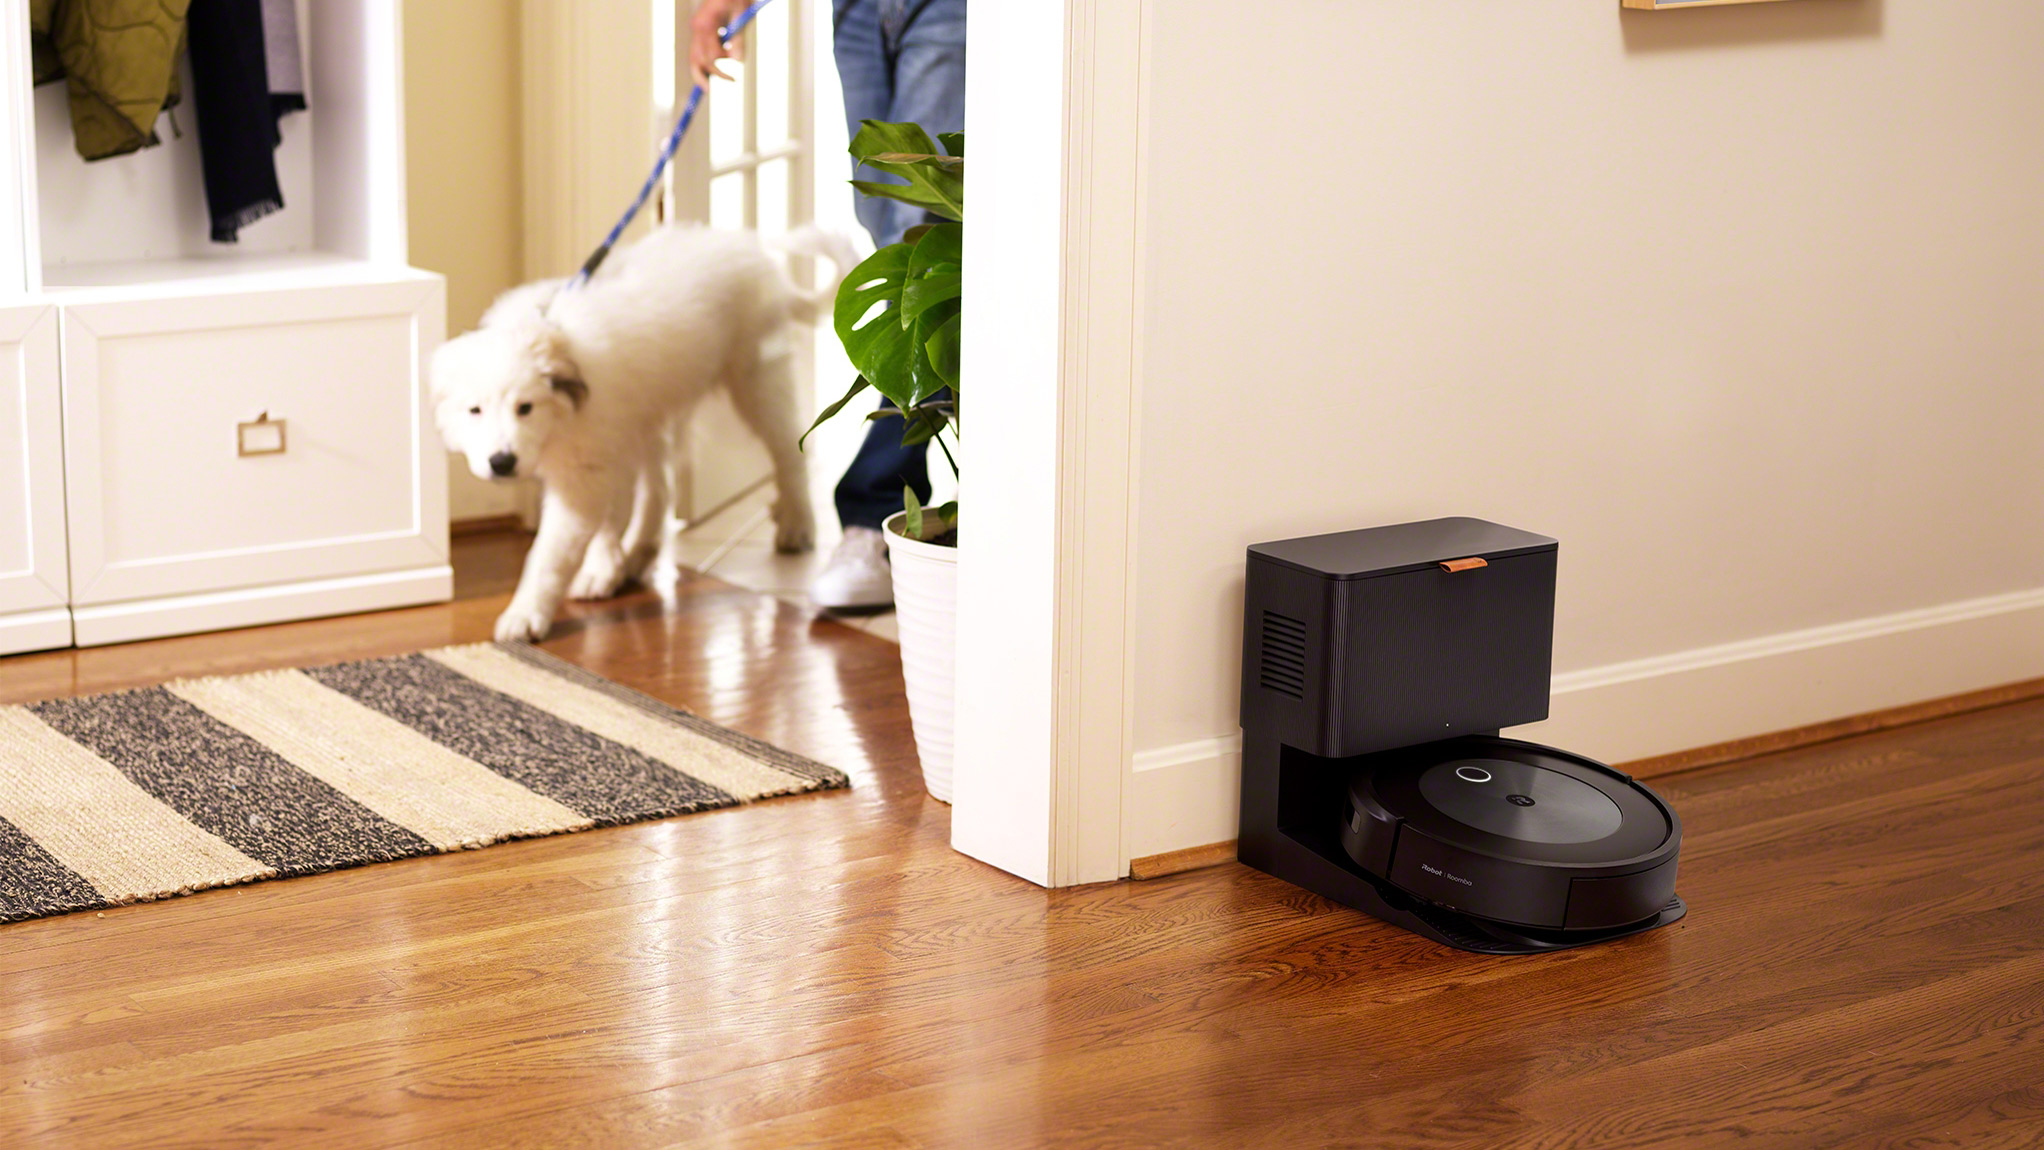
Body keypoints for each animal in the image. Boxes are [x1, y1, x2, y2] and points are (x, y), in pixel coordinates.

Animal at [431, 220, 854, 645]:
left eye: (525, 408)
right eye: (474, 411)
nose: (501, 463)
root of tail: (745, 248)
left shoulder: (586, 469)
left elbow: (551, 552)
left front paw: (525, 614)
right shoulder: (607, 448)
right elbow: (608, 520)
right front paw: (605, 570)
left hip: (756, 382)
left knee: (788, 451)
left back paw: (797, 524)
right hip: (652, 414)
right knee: (659, 490)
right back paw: (639, 553)